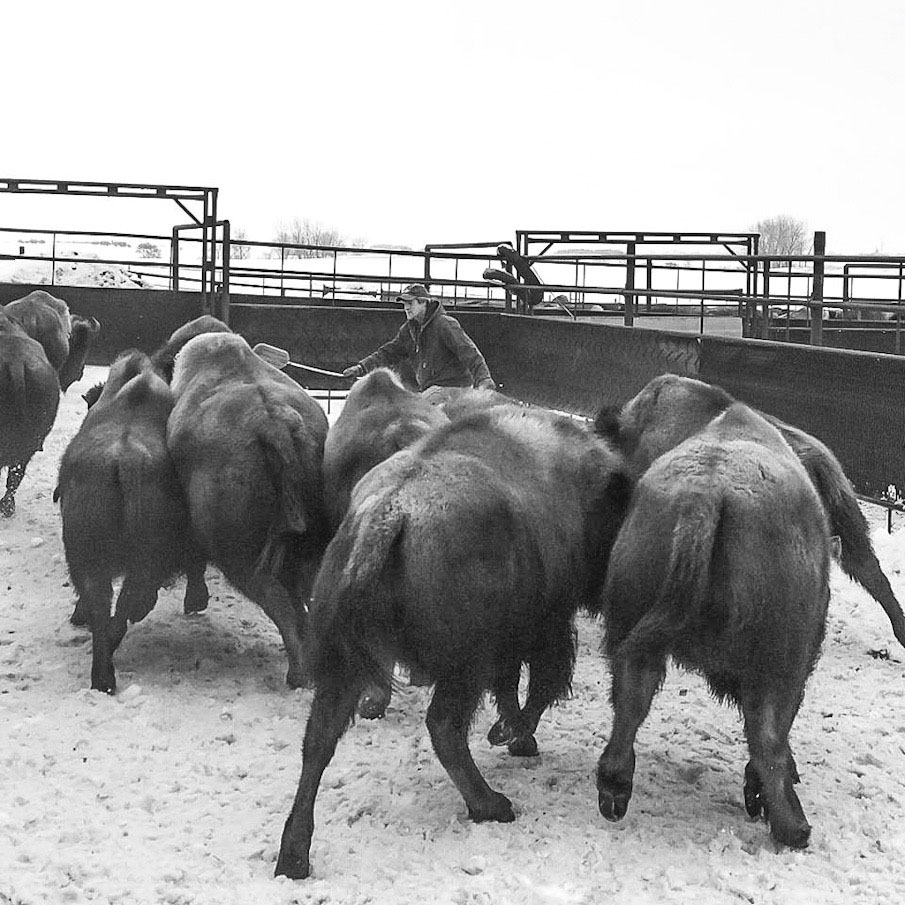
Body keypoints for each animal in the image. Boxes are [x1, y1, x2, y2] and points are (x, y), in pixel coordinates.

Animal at [56, 350, 210, 688]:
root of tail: (122, 461)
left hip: (94, 561)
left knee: (106, 606)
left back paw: (102, 673)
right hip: (133, 564)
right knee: (127, 605)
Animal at [272, 400, 632, 876]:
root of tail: (390, 513)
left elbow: (515, 688)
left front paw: (511, 735)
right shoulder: (546, 623)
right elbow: (540, 686)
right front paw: (514, 737)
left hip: (345, 662)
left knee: (318, 740)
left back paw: (293, 855)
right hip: (464, 665)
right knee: (443, 726)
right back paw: (492, 805)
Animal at [596, 400, 828, 848]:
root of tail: (704, 495)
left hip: (634, 635)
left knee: (631, 701)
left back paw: (613, 788)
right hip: (777, 666)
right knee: (767, 739)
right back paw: (793, 828)